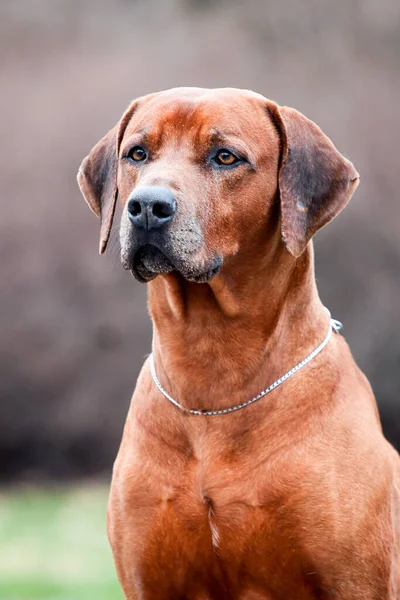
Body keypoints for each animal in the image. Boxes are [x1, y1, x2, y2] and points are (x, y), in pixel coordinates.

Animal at [78, 89, 400, 600]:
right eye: (138, 154)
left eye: (225, 157)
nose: (146, 206)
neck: (213, 375)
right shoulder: (148, 579)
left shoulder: (356, 582)